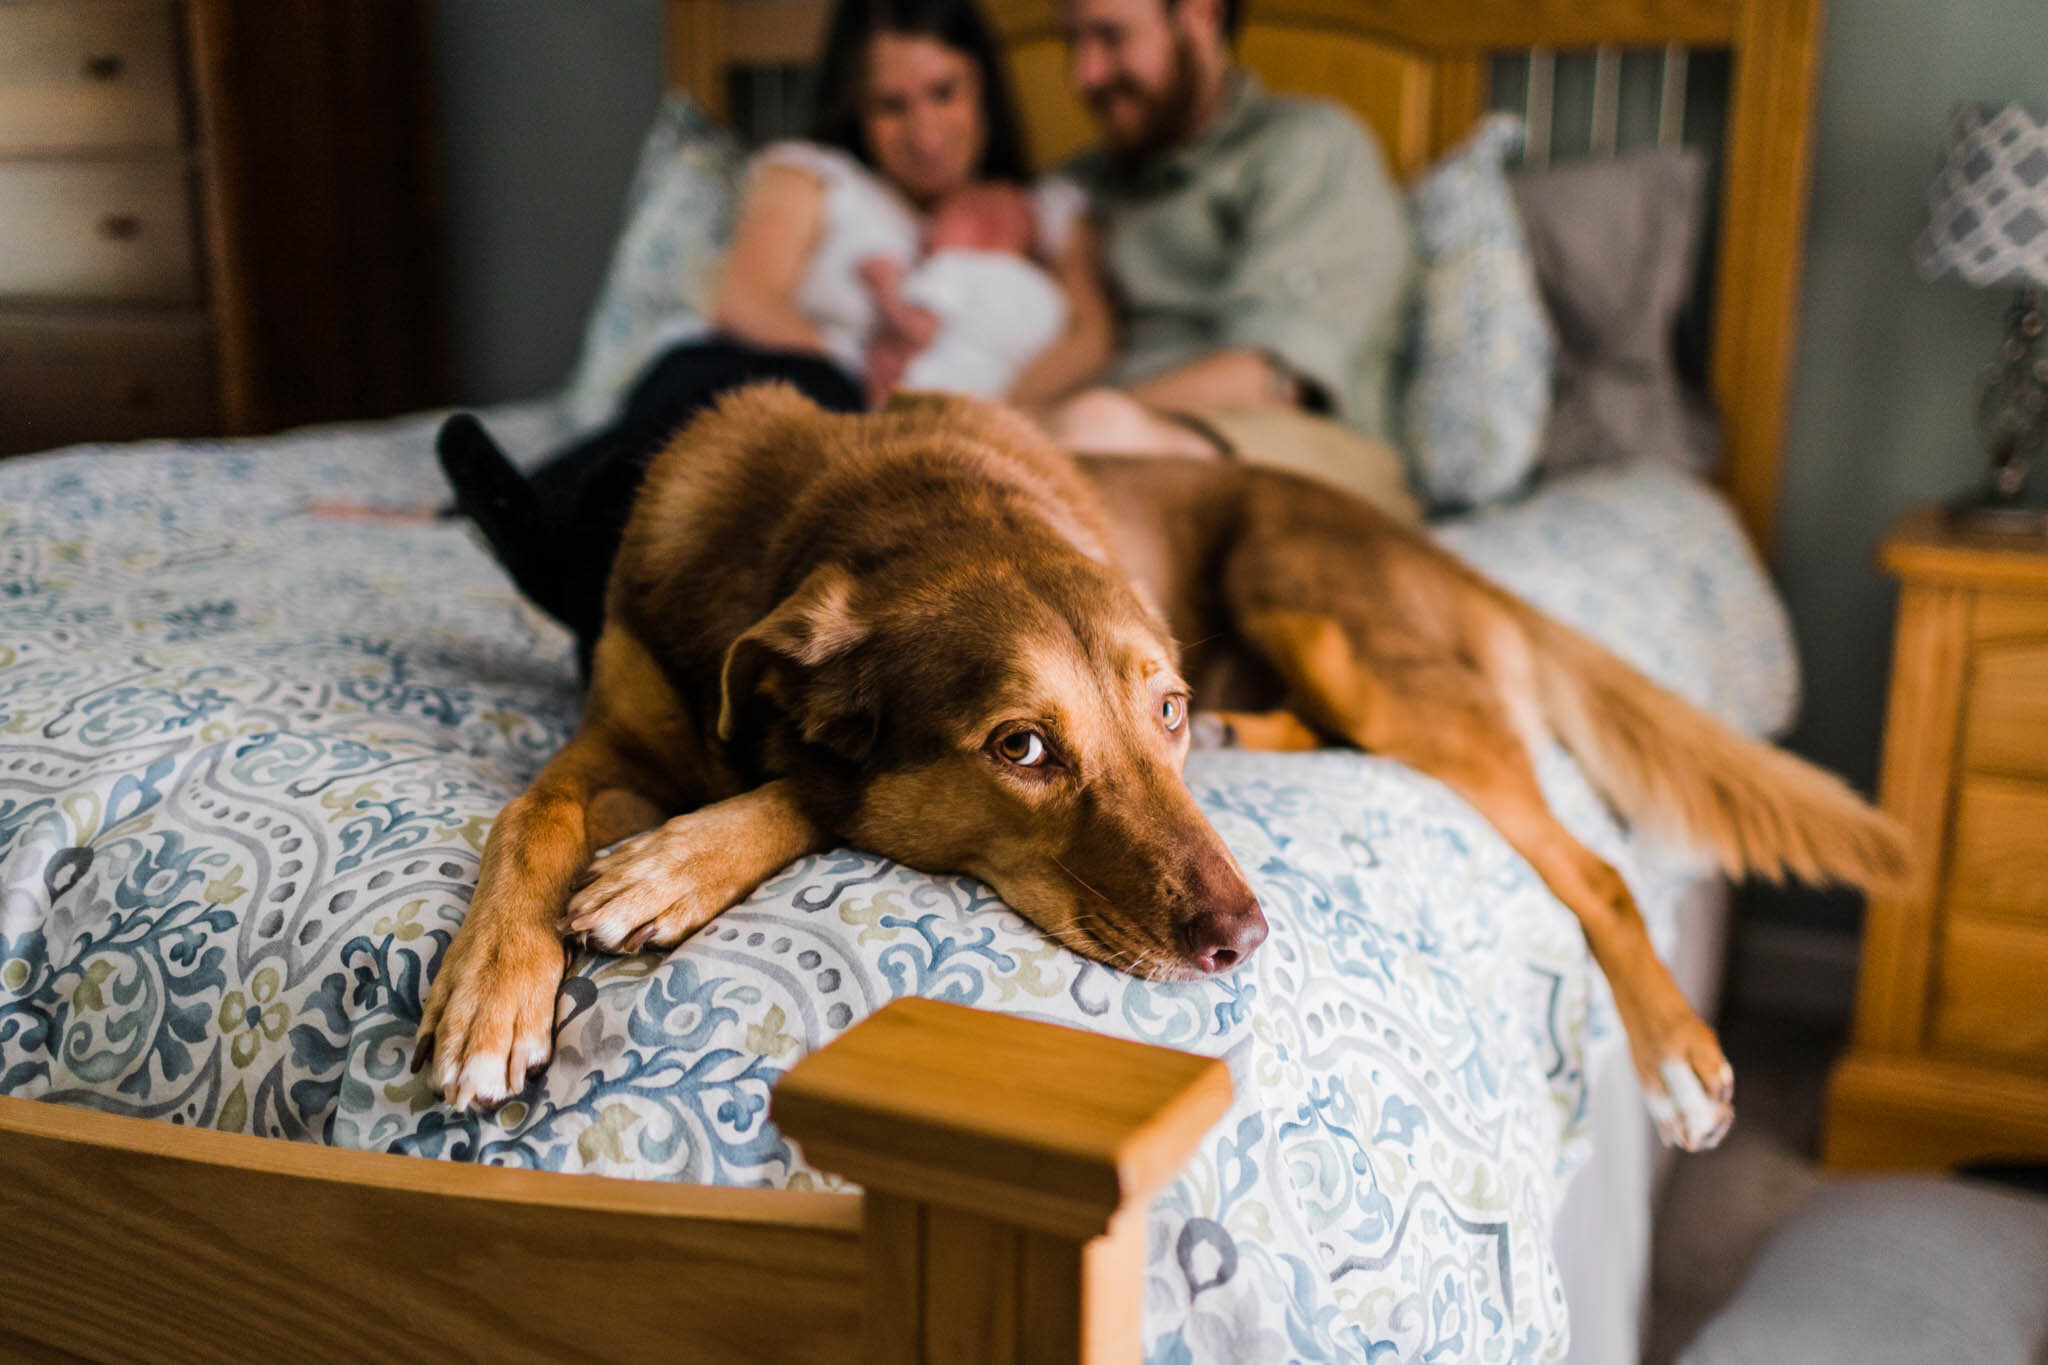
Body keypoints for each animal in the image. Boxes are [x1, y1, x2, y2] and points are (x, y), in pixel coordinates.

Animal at [415, 386, 1900, 1154]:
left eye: (1165, 710)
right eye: (1021, 748)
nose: (1244, 939)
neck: (847, 511)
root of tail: (1431, 549)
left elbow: (809, 790)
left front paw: (673, 862)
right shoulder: (620, 728)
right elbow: (532, 810)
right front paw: (490, 991)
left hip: (1337, 630)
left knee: (1589, 866)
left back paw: (1680, 1064)